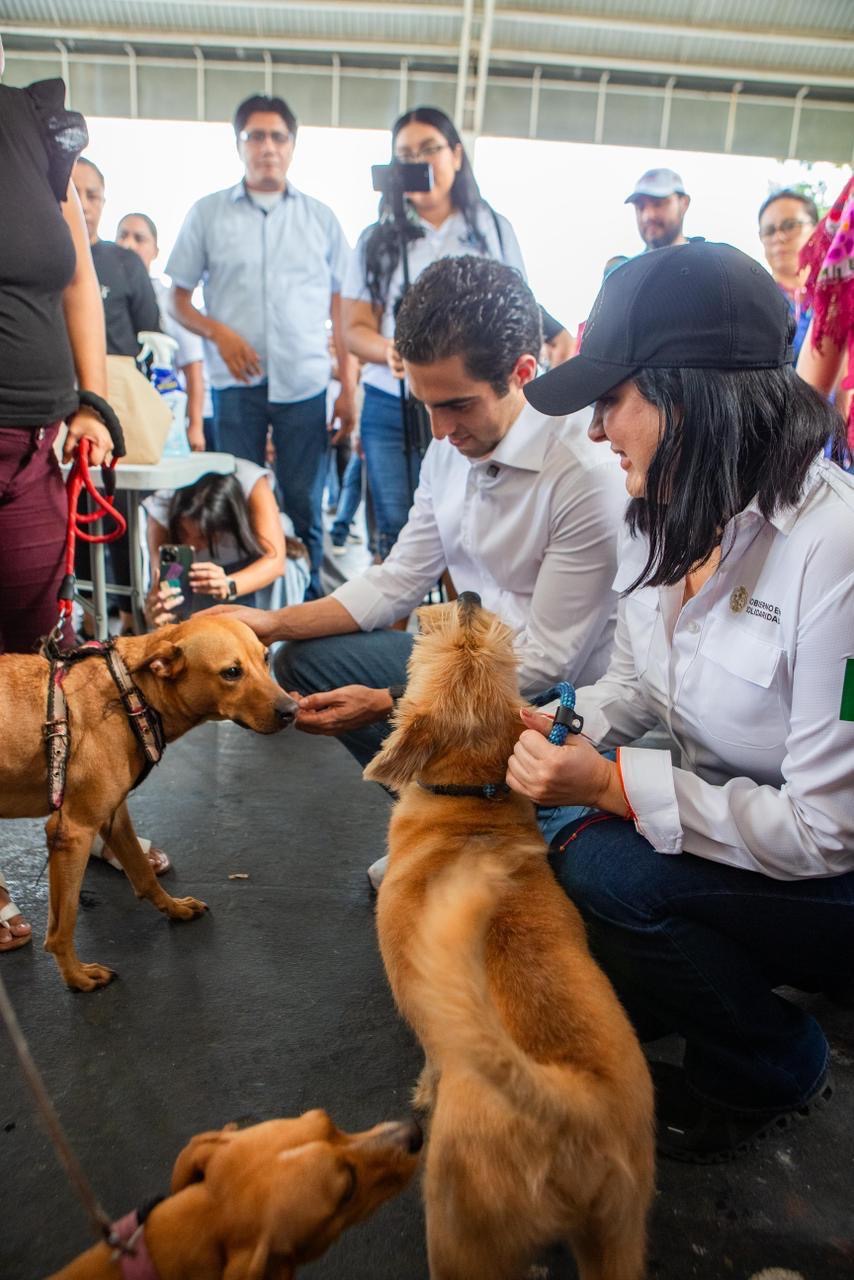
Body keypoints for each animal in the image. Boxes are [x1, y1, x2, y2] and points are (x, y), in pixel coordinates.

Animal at [368, 596, 655, 1280]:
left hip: (459, 1233)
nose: (469, 597)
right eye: (480, 639)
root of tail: (567, 1103)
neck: (473, 806)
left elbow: (429, 1065)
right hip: (618, 1234)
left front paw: (423, 1093)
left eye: (462, 637)